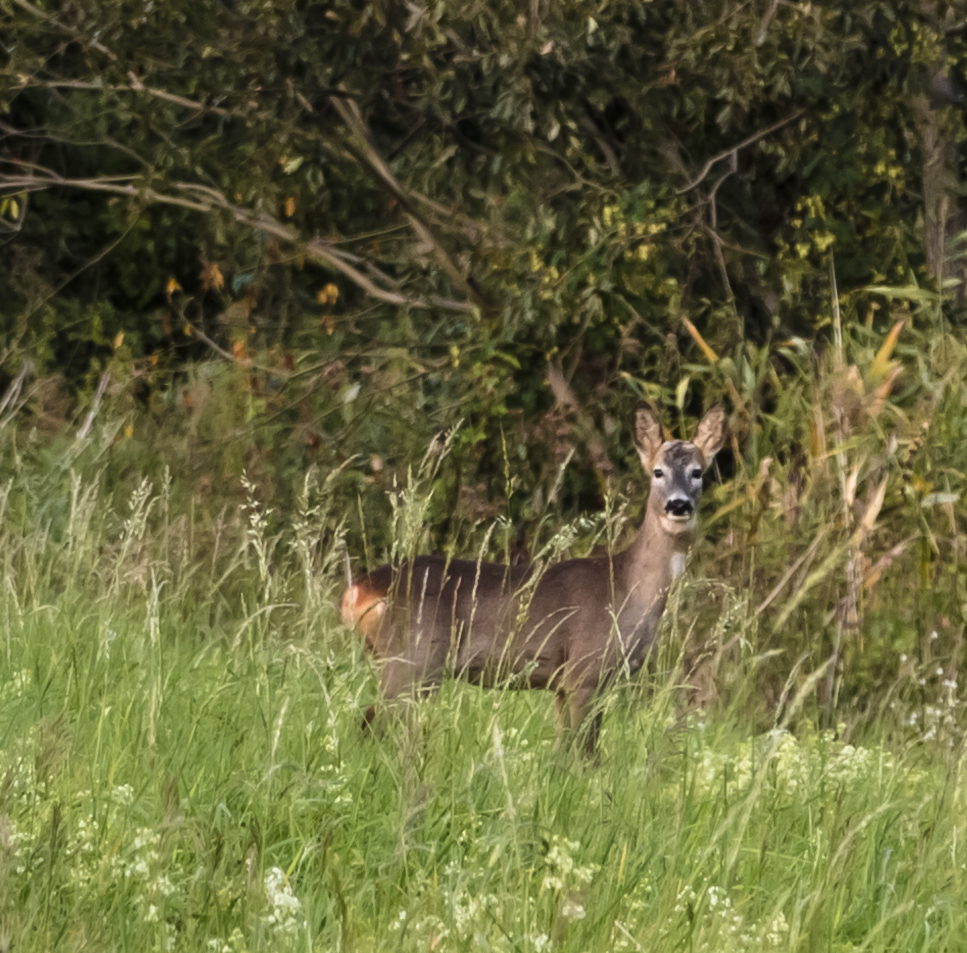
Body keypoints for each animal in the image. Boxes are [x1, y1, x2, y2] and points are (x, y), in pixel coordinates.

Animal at [340, 406, 728, 756]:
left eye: (697, 472)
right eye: (658, 472)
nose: (678, 505)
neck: (627, 588)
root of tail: (355, 591)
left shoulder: (566, 684)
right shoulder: (585, 670)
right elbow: (583, 756)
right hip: (412, 659)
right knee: (370, 723)